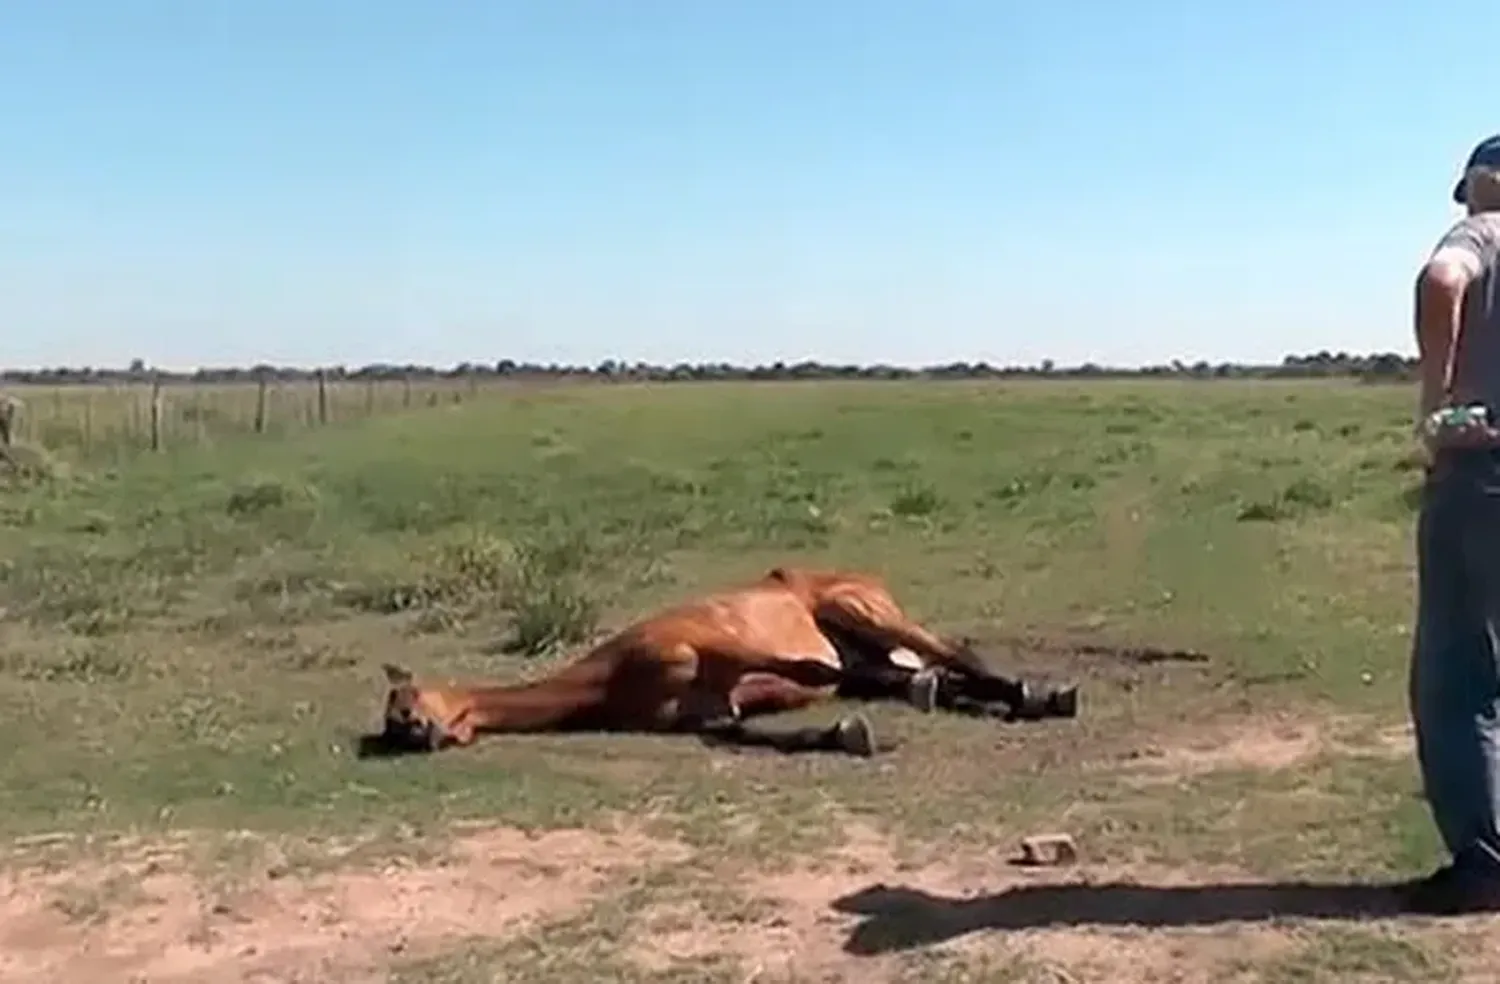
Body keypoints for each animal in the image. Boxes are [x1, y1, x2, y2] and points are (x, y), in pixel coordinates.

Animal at [369, 564, 1086, 756]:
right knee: (921, 675)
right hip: (872, 647)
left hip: (865, 611)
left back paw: (1042, 695)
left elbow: (808, 672)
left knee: (950, 653)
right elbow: (765, 732)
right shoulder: (709, 712)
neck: (610, 677)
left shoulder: (715, 645)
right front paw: (846, 734)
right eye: (391, 717)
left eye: (407, 698)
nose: (413, 732)